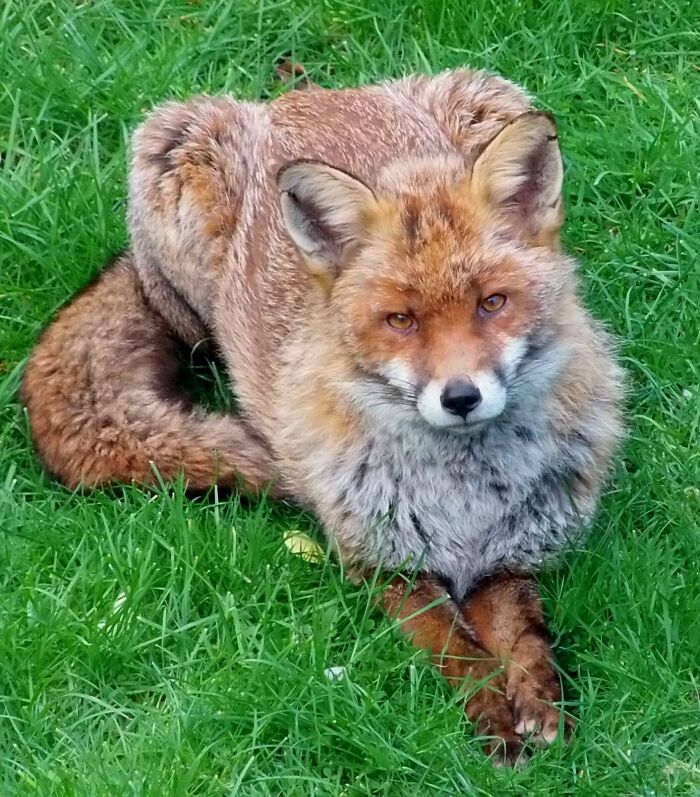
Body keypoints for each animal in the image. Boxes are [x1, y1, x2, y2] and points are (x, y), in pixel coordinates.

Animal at [22, 68, 624, 765]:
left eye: (492, 303)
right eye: (400, 320)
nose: (461, 397)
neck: (462, 501)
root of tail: (309, 97)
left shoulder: (510, 559)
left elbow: (526, 640)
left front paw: (540, 705)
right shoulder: (383, 566)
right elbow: (458, 651)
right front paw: (494, 717)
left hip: (492, 94)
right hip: (172, 175)